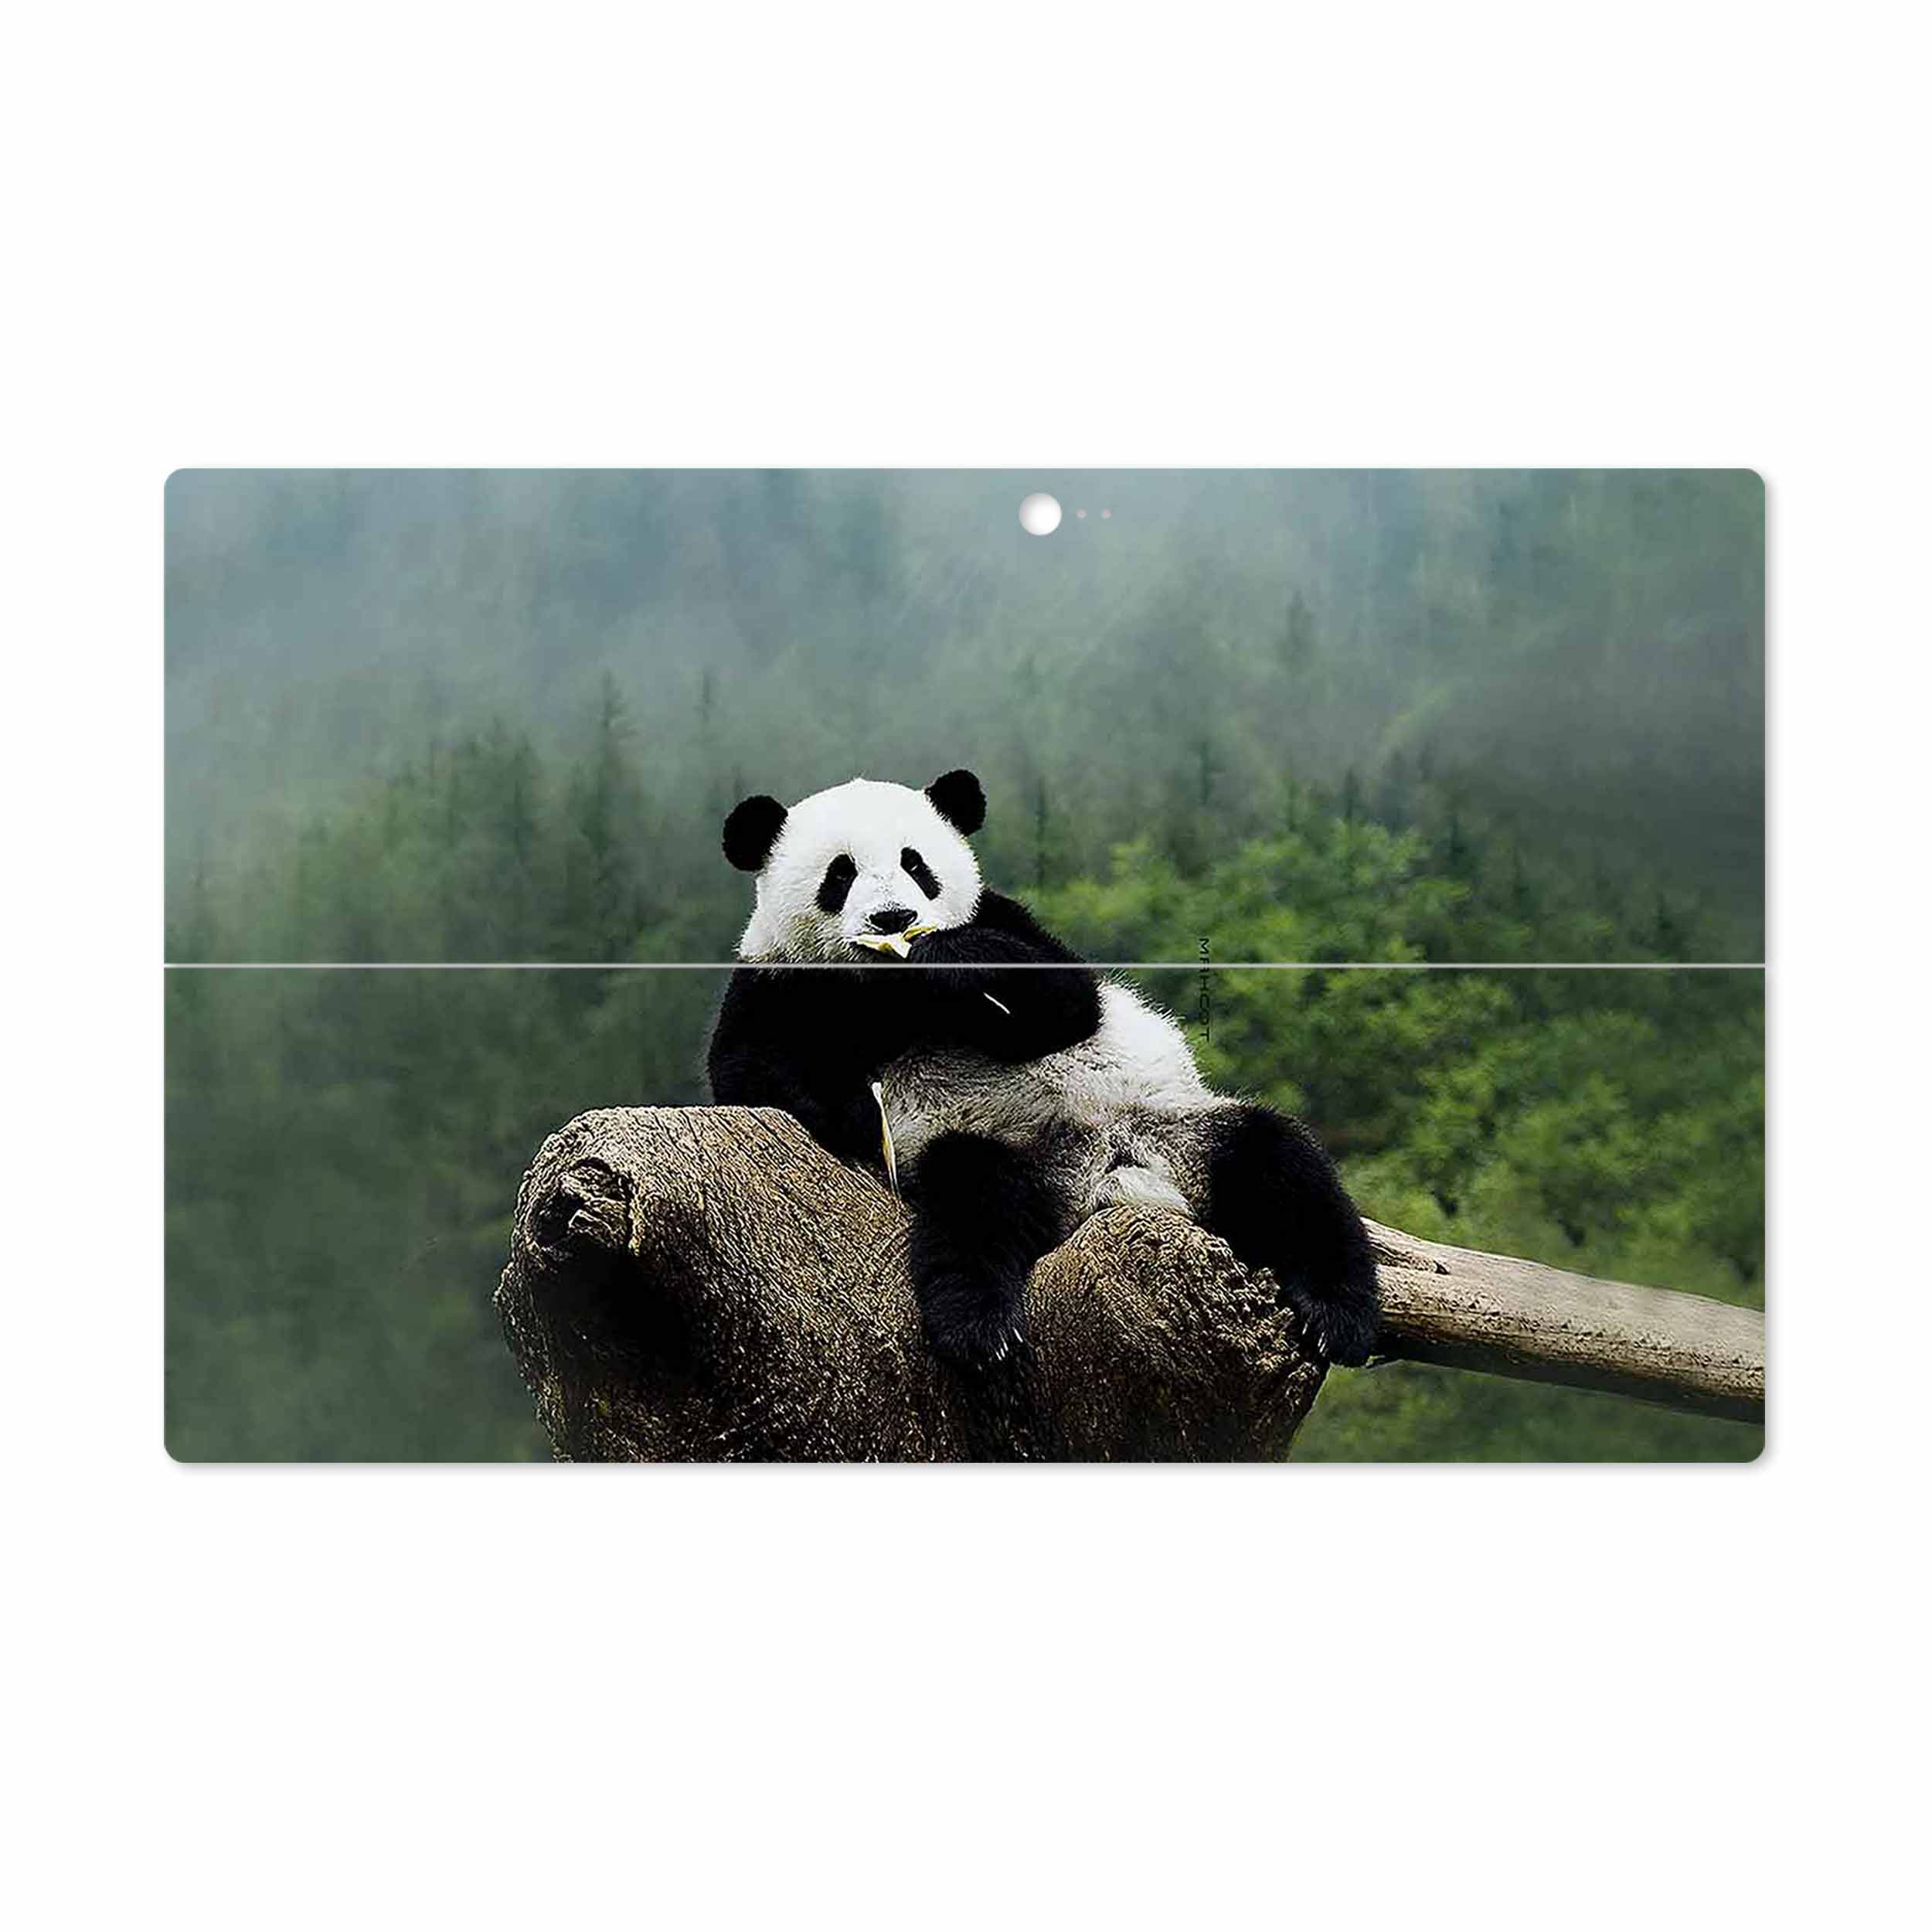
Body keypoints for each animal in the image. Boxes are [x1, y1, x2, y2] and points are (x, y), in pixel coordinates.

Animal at [707, 768, 1380, 1370]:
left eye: (916, 865)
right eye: (840, 874)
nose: (894, 919)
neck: (889, 991)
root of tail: (1107, 1178)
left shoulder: (1003, 919)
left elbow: (1068, 1001)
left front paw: (947, 959)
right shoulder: (778, 980)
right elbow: (749, 1072)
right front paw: (854, 1112)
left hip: (1179, 1127)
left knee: (1282, 1166)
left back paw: (1338, 1316)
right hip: (999, 1149)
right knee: (973, 1202)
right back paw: (979, 1328)